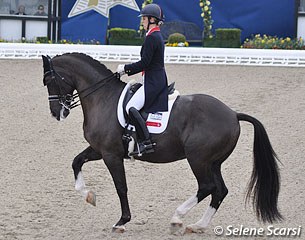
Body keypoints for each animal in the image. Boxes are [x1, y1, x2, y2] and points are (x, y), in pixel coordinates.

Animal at [41, 53, 282, 234]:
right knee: (220, 191)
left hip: (198, 159)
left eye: (49, 81)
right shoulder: (99, 150)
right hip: (214, 163)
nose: (56, 112)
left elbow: (121, 187)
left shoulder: (111, 155)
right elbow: (76, 162)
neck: (103, 98)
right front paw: (88, 196)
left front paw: (122, 221)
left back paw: (177, 218)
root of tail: (233, 114)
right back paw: (198, 225)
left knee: (207, 187)